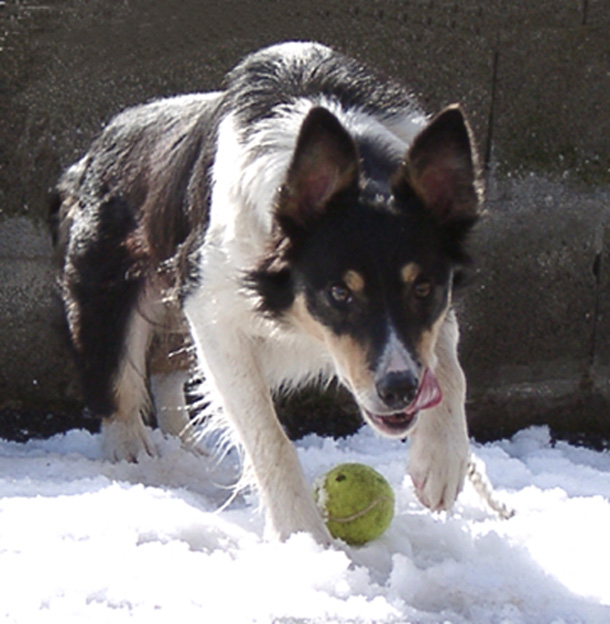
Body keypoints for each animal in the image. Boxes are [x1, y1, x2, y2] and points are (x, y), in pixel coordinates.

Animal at [52, 41, 480, 544]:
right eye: (339, 293)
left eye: (423, 288)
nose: (399, 392)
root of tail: (96, 148)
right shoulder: (210, 307)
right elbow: (266, 435)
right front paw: (302, 537)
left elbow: (449, 364)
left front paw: (441, 461)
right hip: (107, 287)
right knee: (116, 379)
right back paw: (135, 460)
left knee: (165, 372)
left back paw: (187, 453)